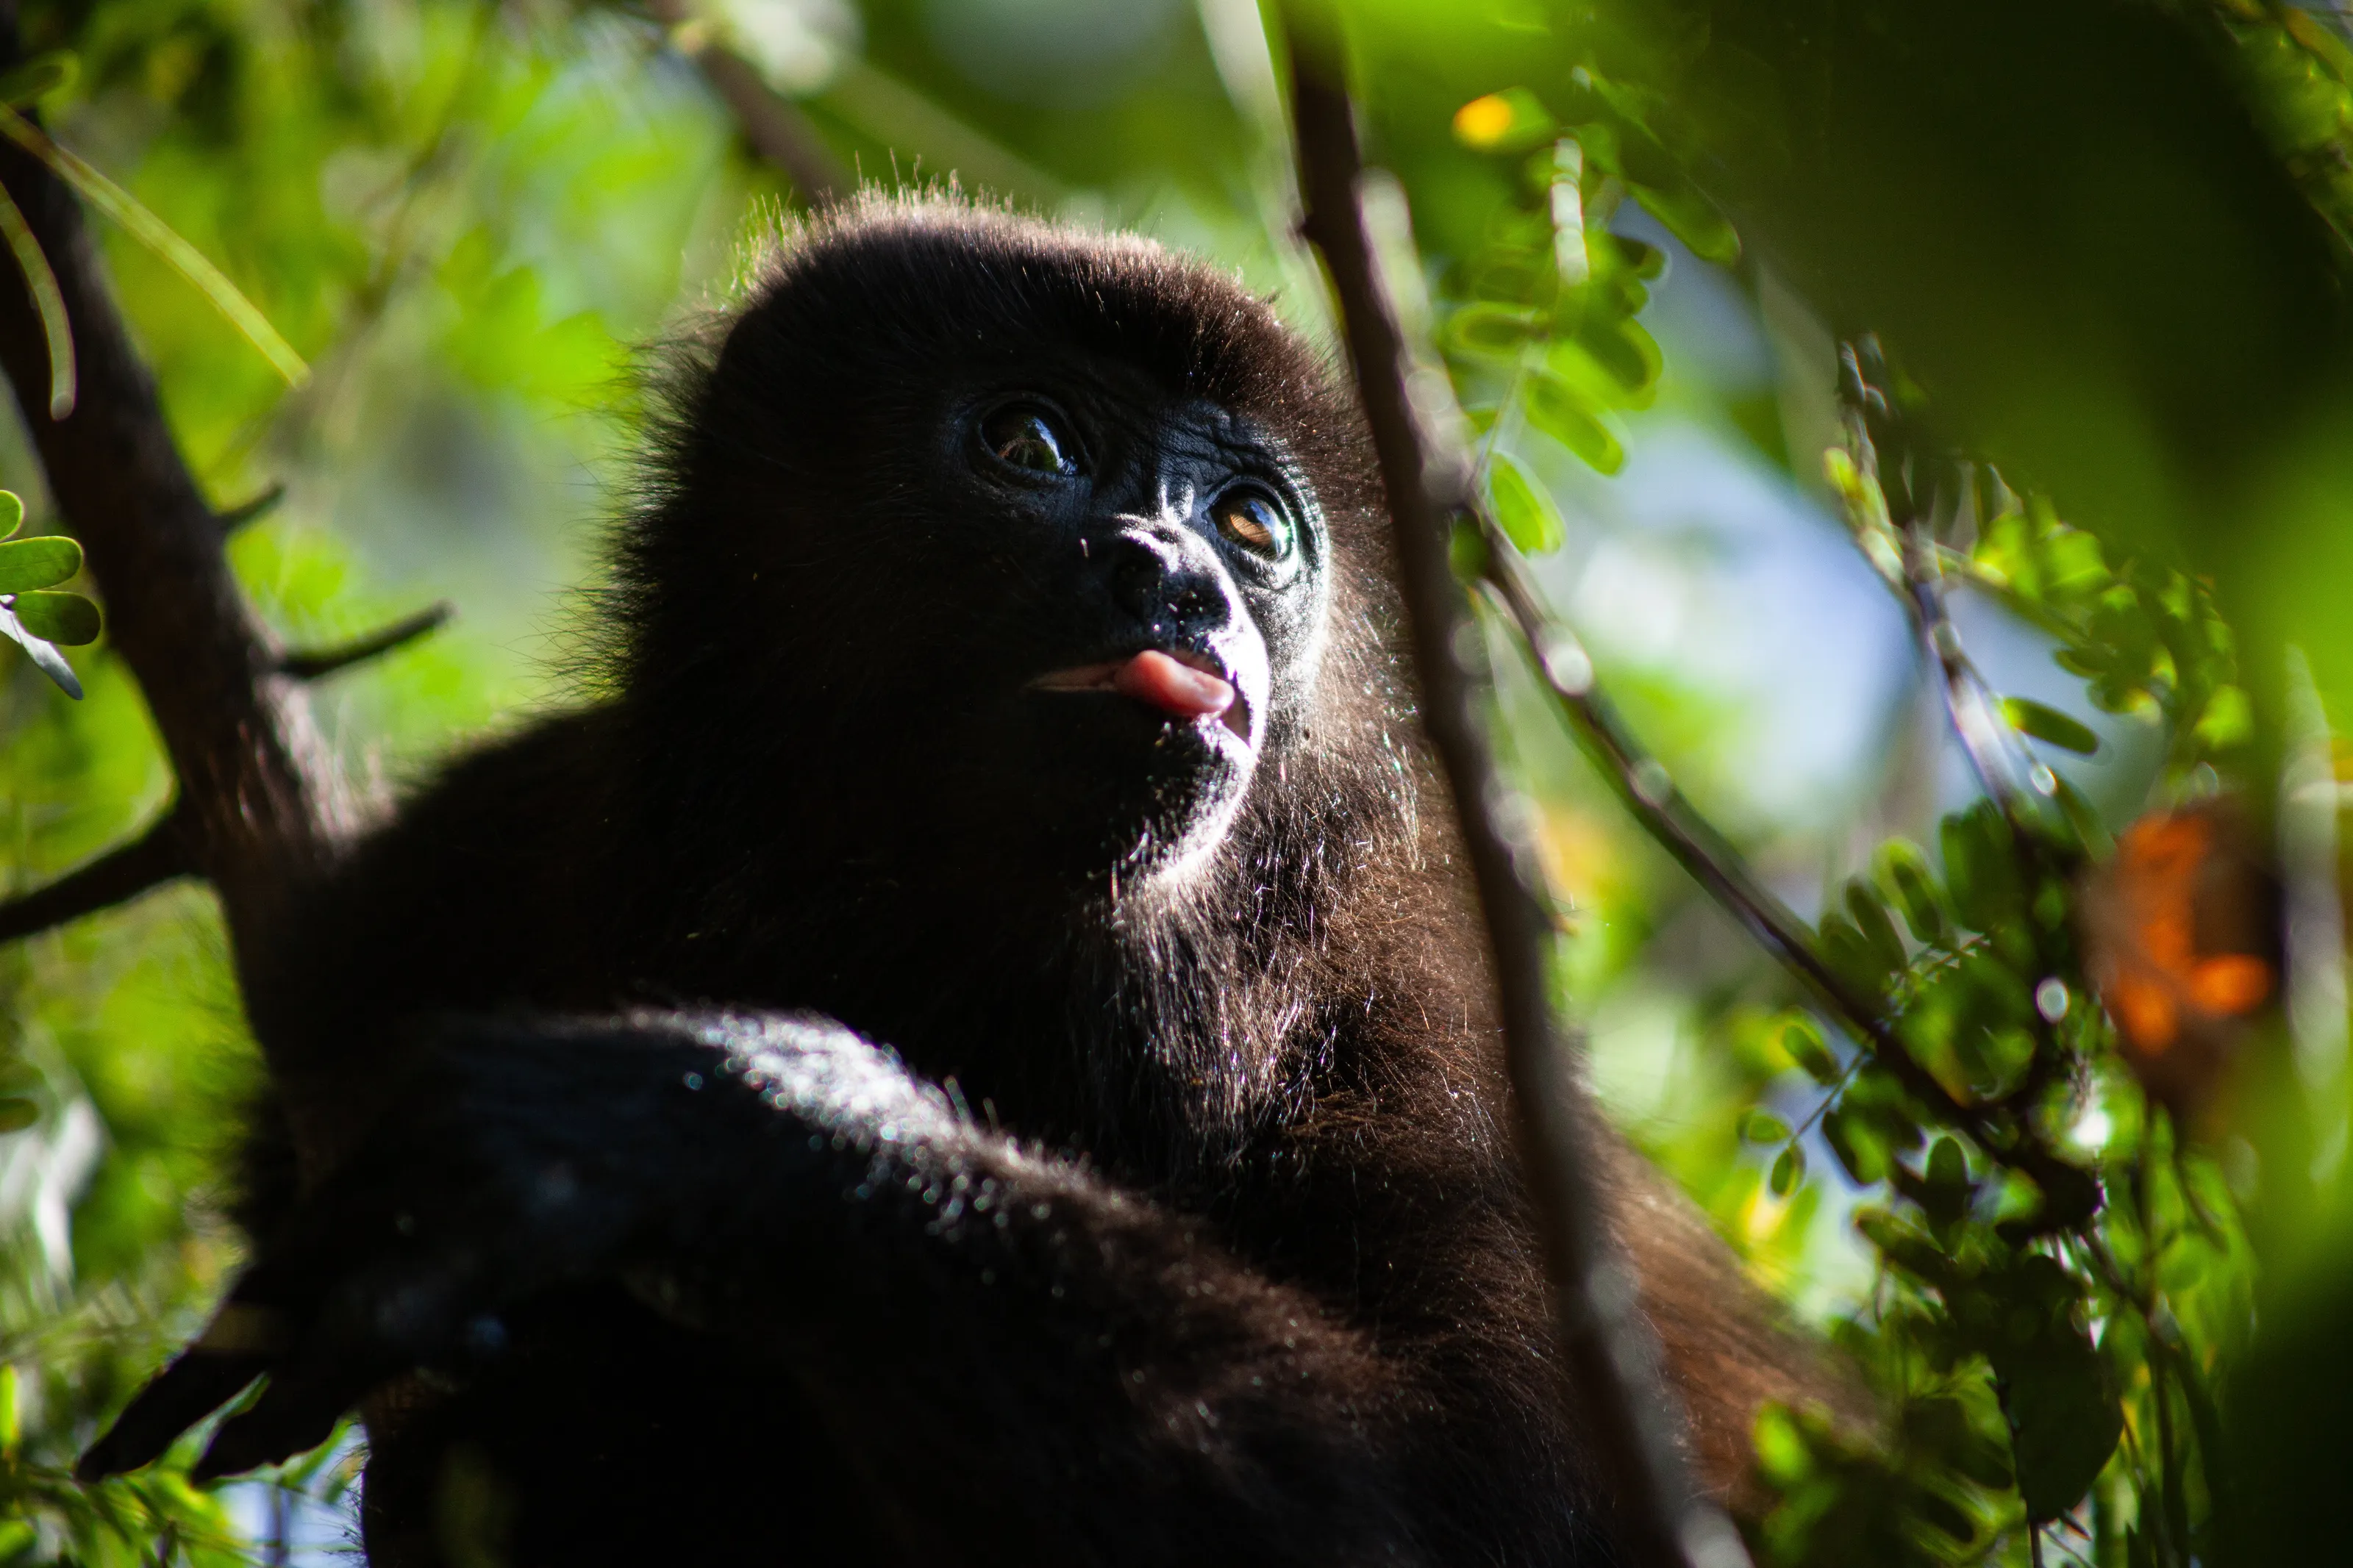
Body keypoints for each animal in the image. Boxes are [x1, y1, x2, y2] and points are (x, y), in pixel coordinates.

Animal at [79, 195, 1831, 1566]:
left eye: (1254, 525)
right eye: (1029, 443)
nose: (1182, 580)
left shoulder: (1430, 1030)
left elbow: (1464, 1513)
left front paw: (701, 1120)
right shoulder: (476, 858)